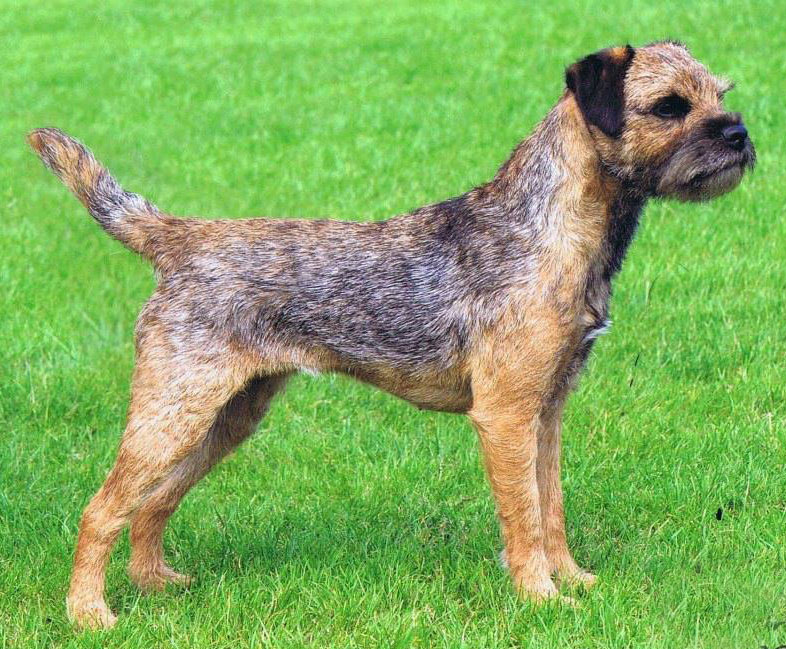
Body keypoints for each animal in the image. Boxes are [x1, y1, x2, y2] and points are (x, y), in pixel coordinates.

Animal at [29, 40, 755, 629]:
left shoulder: (546, 411)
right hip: (175, 410)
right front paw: (541, 597)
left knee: (152, 503)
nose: (740, 133)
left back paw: (155, 584)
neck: (552, 227)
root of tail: (179, 238)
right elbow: (524, 515)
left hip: (226, 415)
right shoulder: (506, 414)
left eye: (721, 94)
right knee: (101, 509)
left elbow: (551, 505)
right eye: (668, 106)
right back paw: (90, 613)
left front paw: (574, 581)